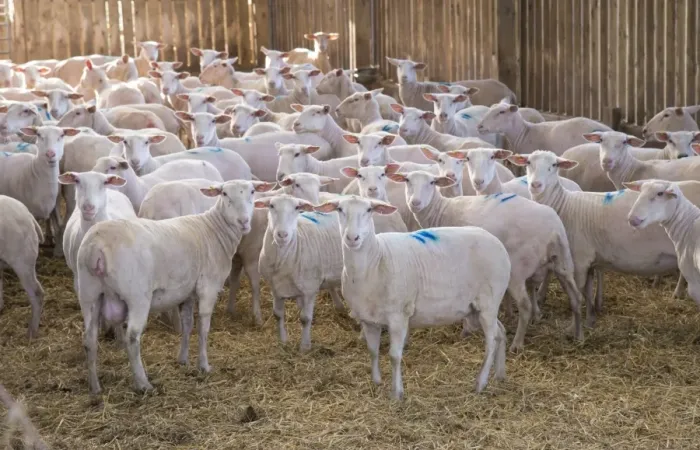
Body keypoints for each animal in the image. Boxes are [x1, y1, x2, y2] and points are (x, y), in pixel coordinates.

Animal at [77, 179, 274, 394]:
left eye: (253, 192)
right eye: (224, 194)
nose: (244, 221)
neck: (214, 230)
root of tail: (96, 246)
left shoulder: (187, 292)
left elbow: (187, 325)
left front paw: (183, 359)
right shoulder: (208, 288)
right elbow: (203, 328)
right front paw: (203, 365)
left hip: (89, 294)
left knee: (89, 339)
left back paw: (95, 387)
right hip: (137, 296)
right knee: (132, 337)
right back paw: (143, 384)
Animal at [315, 196, 511, 397]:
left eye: (369, 210)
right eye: (339, 209)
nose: (352, 238)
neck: (375, 261)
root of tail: (496, 242)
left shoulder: (398, 317)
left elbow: (394, 356)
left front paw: (396, 393)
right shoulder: (368, 319)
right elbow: (373, 351)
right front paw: (376, 382)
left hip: (489, 301)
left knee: (491, 342)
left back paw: (481, 383)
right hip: (478, 308)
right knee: (500, 333)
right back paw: (500, 374)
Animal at [388, 170, 583, 350]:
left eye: (432, 182)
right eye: (407, 180)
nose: (415, 203)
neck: (441, 210)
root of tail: (553, 229)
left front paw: (467, 328)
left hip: (519, 267)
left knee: (525, 305)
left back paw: (517, 343)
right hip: (563, 261)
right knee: (576, 298)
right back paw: (577, 335)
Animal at [509, 151, 692, 324]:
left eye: (554, 165)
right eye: (528, 162)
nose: (535, 185)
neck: (565, 206)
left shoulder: (579, 260)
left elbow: (578, 294)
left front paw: (574, 326)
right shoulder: (589, 261)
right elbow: (588, 291)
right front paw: (590, 318)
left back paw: (677, 293)